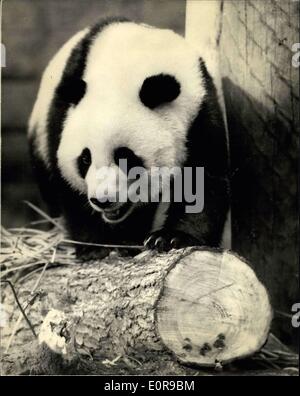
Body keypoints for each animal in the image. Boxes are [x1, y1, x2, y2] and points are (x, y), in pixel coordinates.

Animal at [28, 18, 230, 260]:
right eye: (85, 159)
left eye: (125, 156)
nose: (102, 200)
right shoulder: (61, 118)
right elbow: (69, 187)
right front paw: (97, 246)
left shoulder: (199, 113)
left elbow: (204, 178)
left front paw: (170, 238)